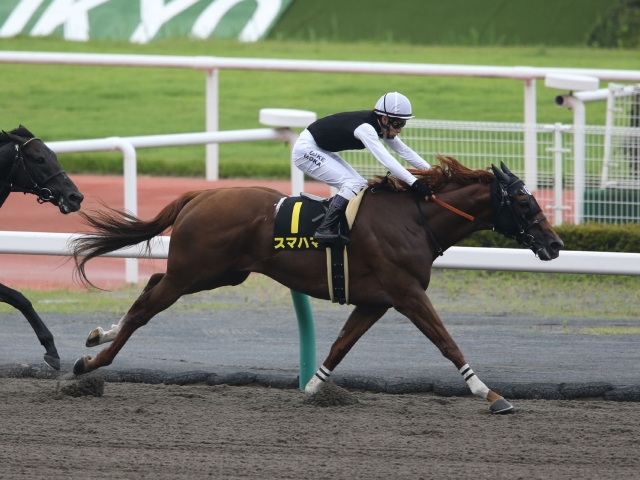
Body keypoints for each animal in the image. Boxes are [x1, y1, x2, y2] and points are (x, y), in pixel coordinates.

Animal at [0, 125, 84, 370]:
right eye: (39, 159)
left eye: (54, 155)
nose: (75, 197)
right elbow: (19, 298)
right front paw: (51, 347)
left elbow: (20, 298)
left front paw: (51, 349)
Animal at [71, 157, 560, 412]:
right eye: (523, 201)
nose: (555, 244)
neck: (413, 221)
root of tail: (202, 194)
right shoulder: (407, 294)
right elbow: (447, 342)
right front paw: (491, 394)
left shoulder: (376, 301)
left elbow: (340, 345)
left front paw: (312, 389)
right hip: (195, 271)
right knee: (145, 308)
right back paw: (91, 363)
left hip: (216, 273)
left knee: (152, 284)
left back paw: (99, 335)